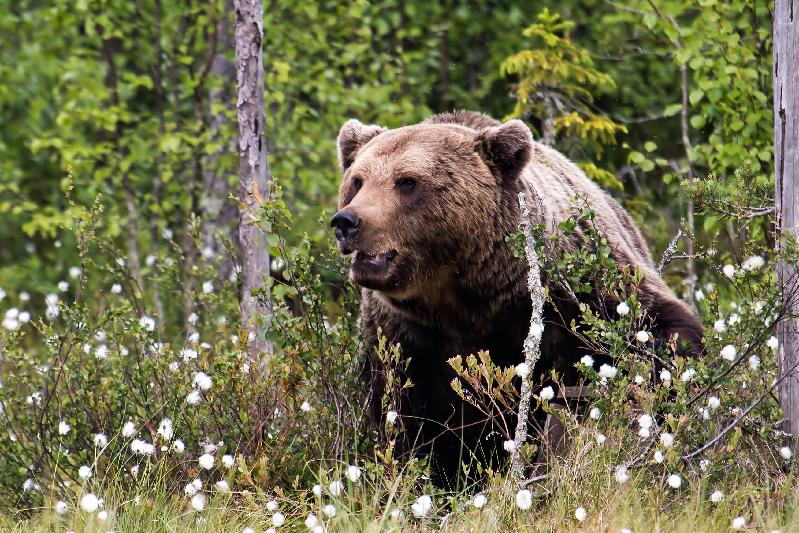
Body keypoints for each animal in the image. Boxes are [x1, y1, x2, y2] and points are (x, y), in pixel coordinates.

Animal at [331, 110, 703, 485]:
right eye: (358, 181)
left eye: (407, 181)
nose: (347, 221)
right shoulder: (406, 337)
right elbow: (406, 417)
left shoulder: (577, 291)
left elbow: (659, 333)